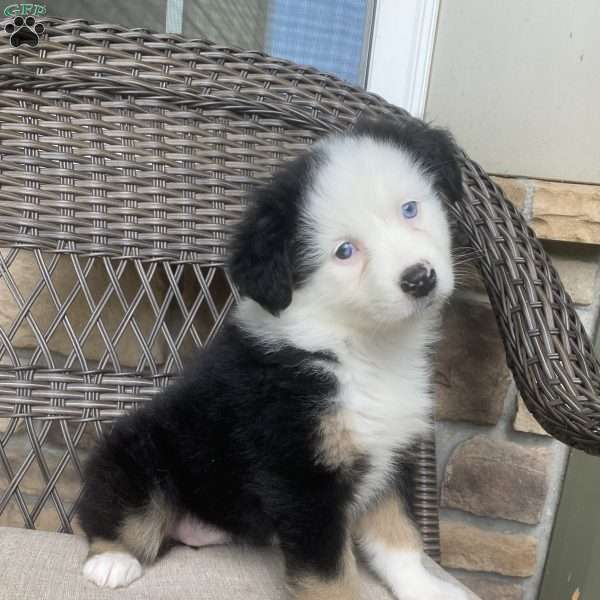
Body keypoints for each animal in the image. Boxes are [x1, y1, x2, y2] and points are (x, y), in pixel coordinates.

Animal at [76, 118, 468, 600]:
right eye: (344, 251)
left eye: (410, 209)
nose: (419, 279)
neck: (363, 348)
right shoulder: (301, 476)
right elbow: (331, 574)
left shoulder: (389, 456)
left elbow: (399, 537)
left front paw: (428, 589)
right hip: (139, 450)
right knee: (119, 509)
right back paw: (111, 560)